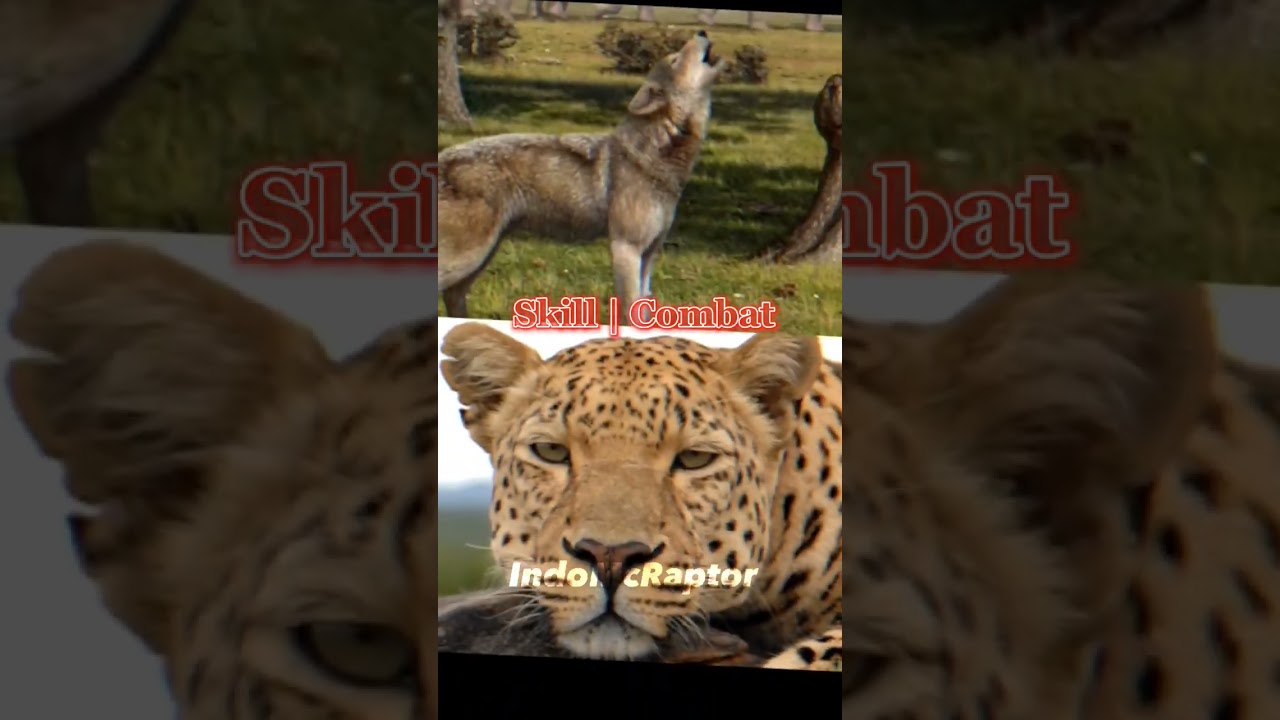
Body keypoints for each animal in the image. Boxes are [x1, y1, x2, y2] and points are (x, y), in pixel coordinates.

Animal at [437, 30, 726, 320]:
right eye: (676, 58)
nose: (702, 32)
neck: (654, 154)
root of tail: (442, 157)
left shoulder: (650, 254)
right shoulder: (625, 249)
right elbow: (628, 310)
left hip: (480, 258)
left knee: (452, 296)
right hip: (471, 256)